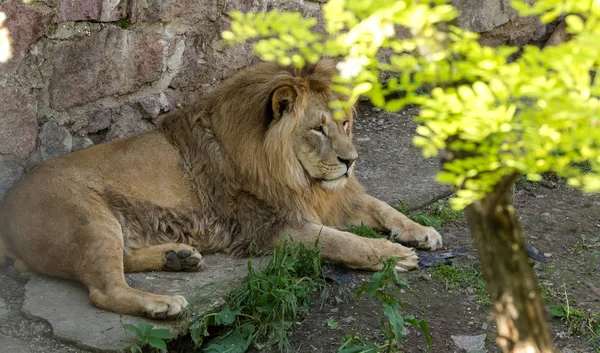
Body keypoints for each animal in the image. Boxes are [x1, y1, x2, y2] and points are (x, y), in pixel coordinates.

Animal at [0, 60, 440, 320]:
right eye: (317, 128)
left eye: (345, 122)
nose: (351, 161)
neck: (296, 176)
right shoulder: (273, 226)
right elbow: (344, 242)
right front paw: (392, 254)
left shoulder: (331, 198)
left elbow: (382, 206)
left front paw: (421, 231)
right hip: (90, 218)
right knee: (104, 289)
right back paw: (162, 302)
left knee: (121, 262)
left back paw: (178, 257)